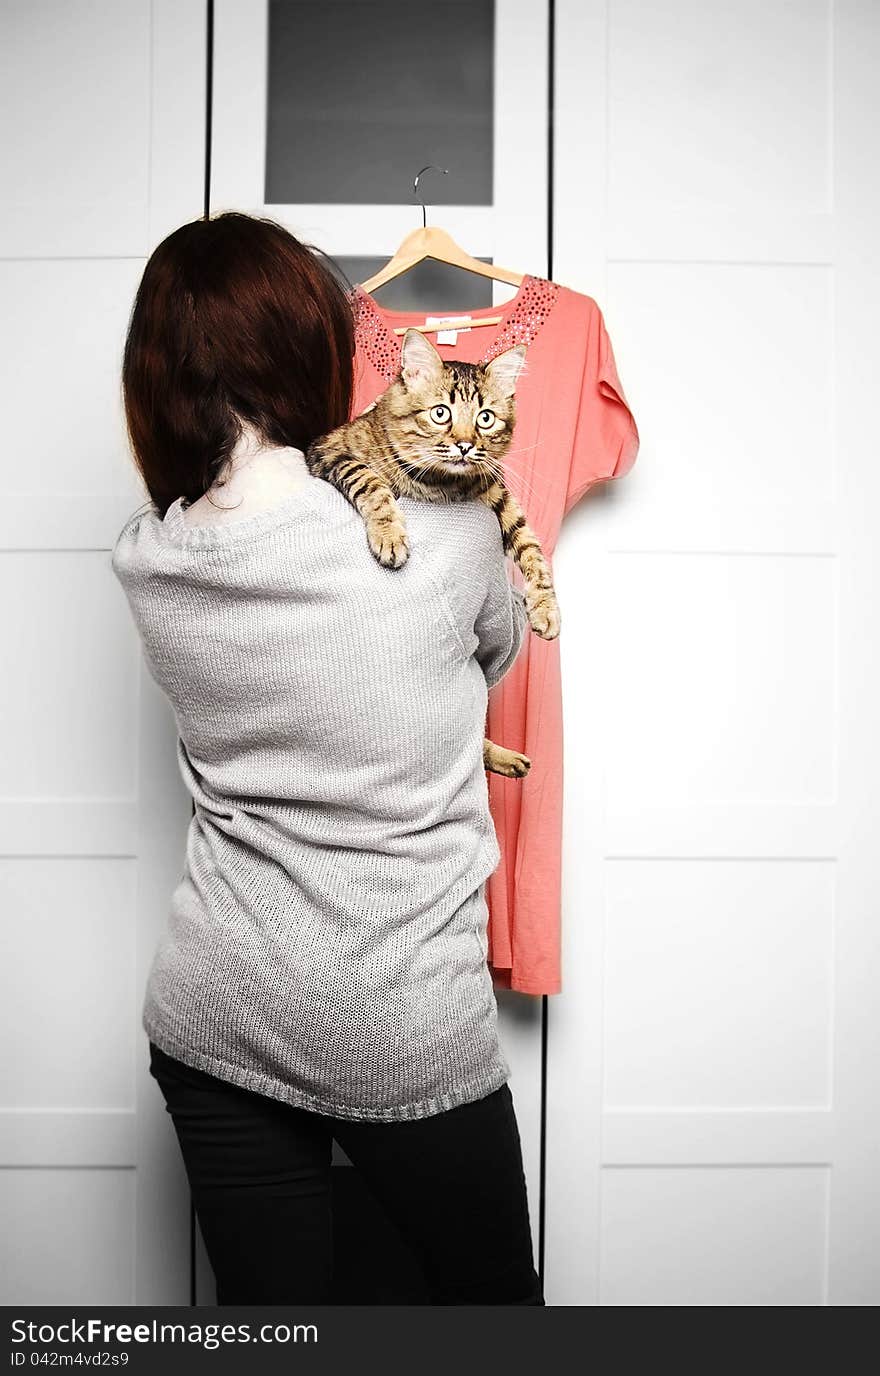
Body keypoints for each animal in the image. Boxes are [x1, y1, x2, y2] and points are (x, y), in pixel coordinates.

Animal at [305, 321, 561, 776]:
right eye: (441, 413)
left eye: (485, 418)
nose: (464, 444)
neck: (443, 484)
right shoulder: (328, 452)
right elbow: (369, 479)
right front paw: (390, 536)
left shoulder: (497, 494)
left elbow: (531, 548)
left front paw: (546, 609)